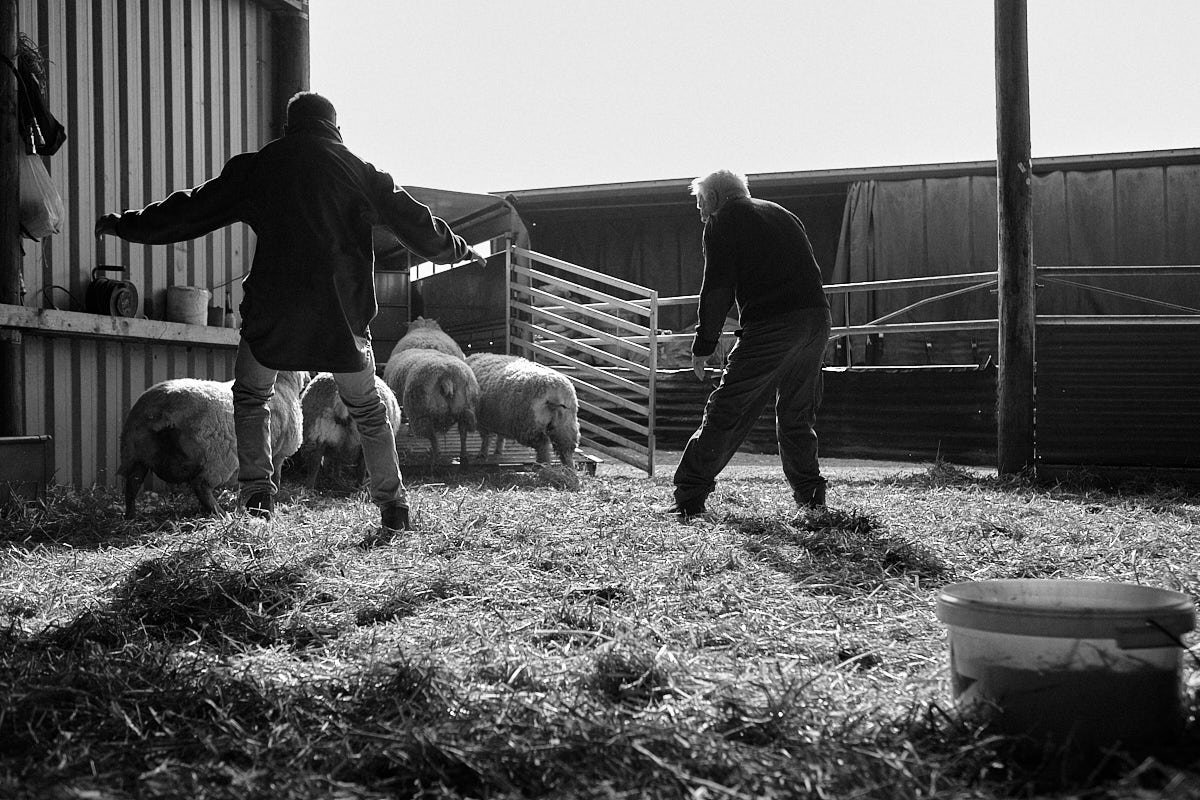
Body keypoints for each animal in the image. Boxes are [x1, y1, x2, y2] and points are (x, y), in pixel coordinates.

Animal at [117, 371, 307, 520]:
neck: (283, 384)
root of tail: (162, 408)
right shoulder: (279, 454)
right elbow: (275, 478)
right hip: (218, 458)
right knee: (201, 485)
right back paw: (221, 514)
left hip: (134, 452)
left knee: (132, 484)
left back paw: (130, 516)